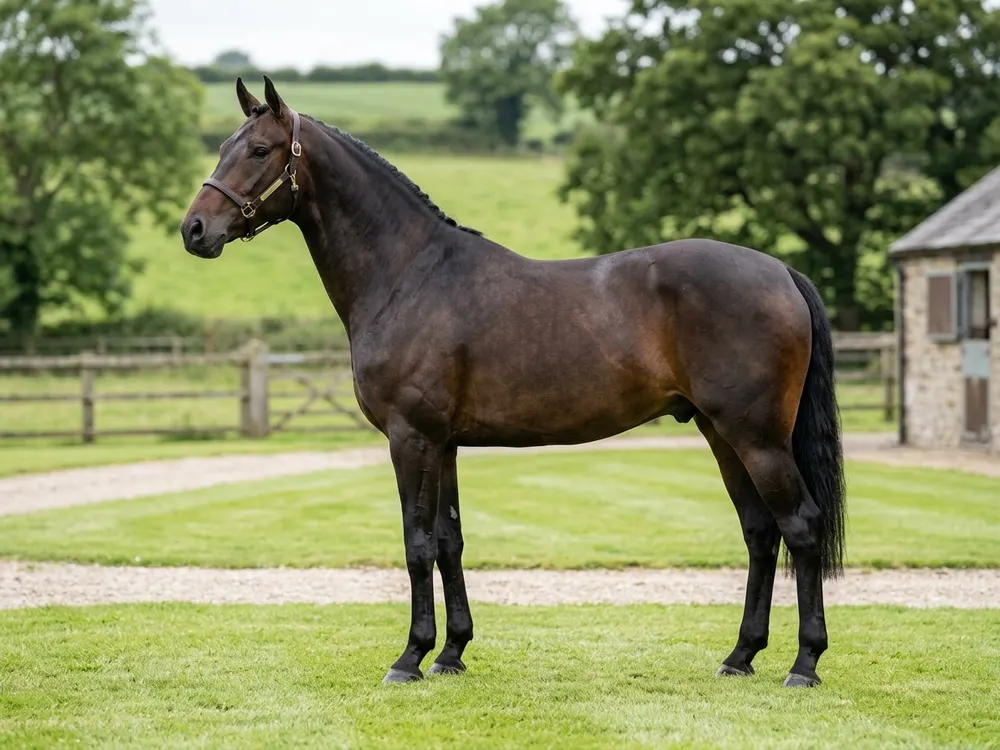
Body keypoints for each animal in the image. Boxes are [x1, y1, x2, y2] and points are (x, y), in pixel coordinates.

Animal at [180, 76, 846, 689]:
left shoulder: (411, 438)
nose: (195, 230)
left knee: (800, 526)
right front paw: (451, 653)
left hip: (757, 438)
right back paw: (740, 657)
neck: (408, 274)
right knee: (760, 533)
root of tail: (781, 271)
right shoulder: (443, 443)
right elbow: (448, 541)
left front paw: (410, 658)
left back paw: (805, 664)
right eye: (223, 146)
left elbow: (417, 543)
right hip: (720, 433)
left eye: (260, 150)